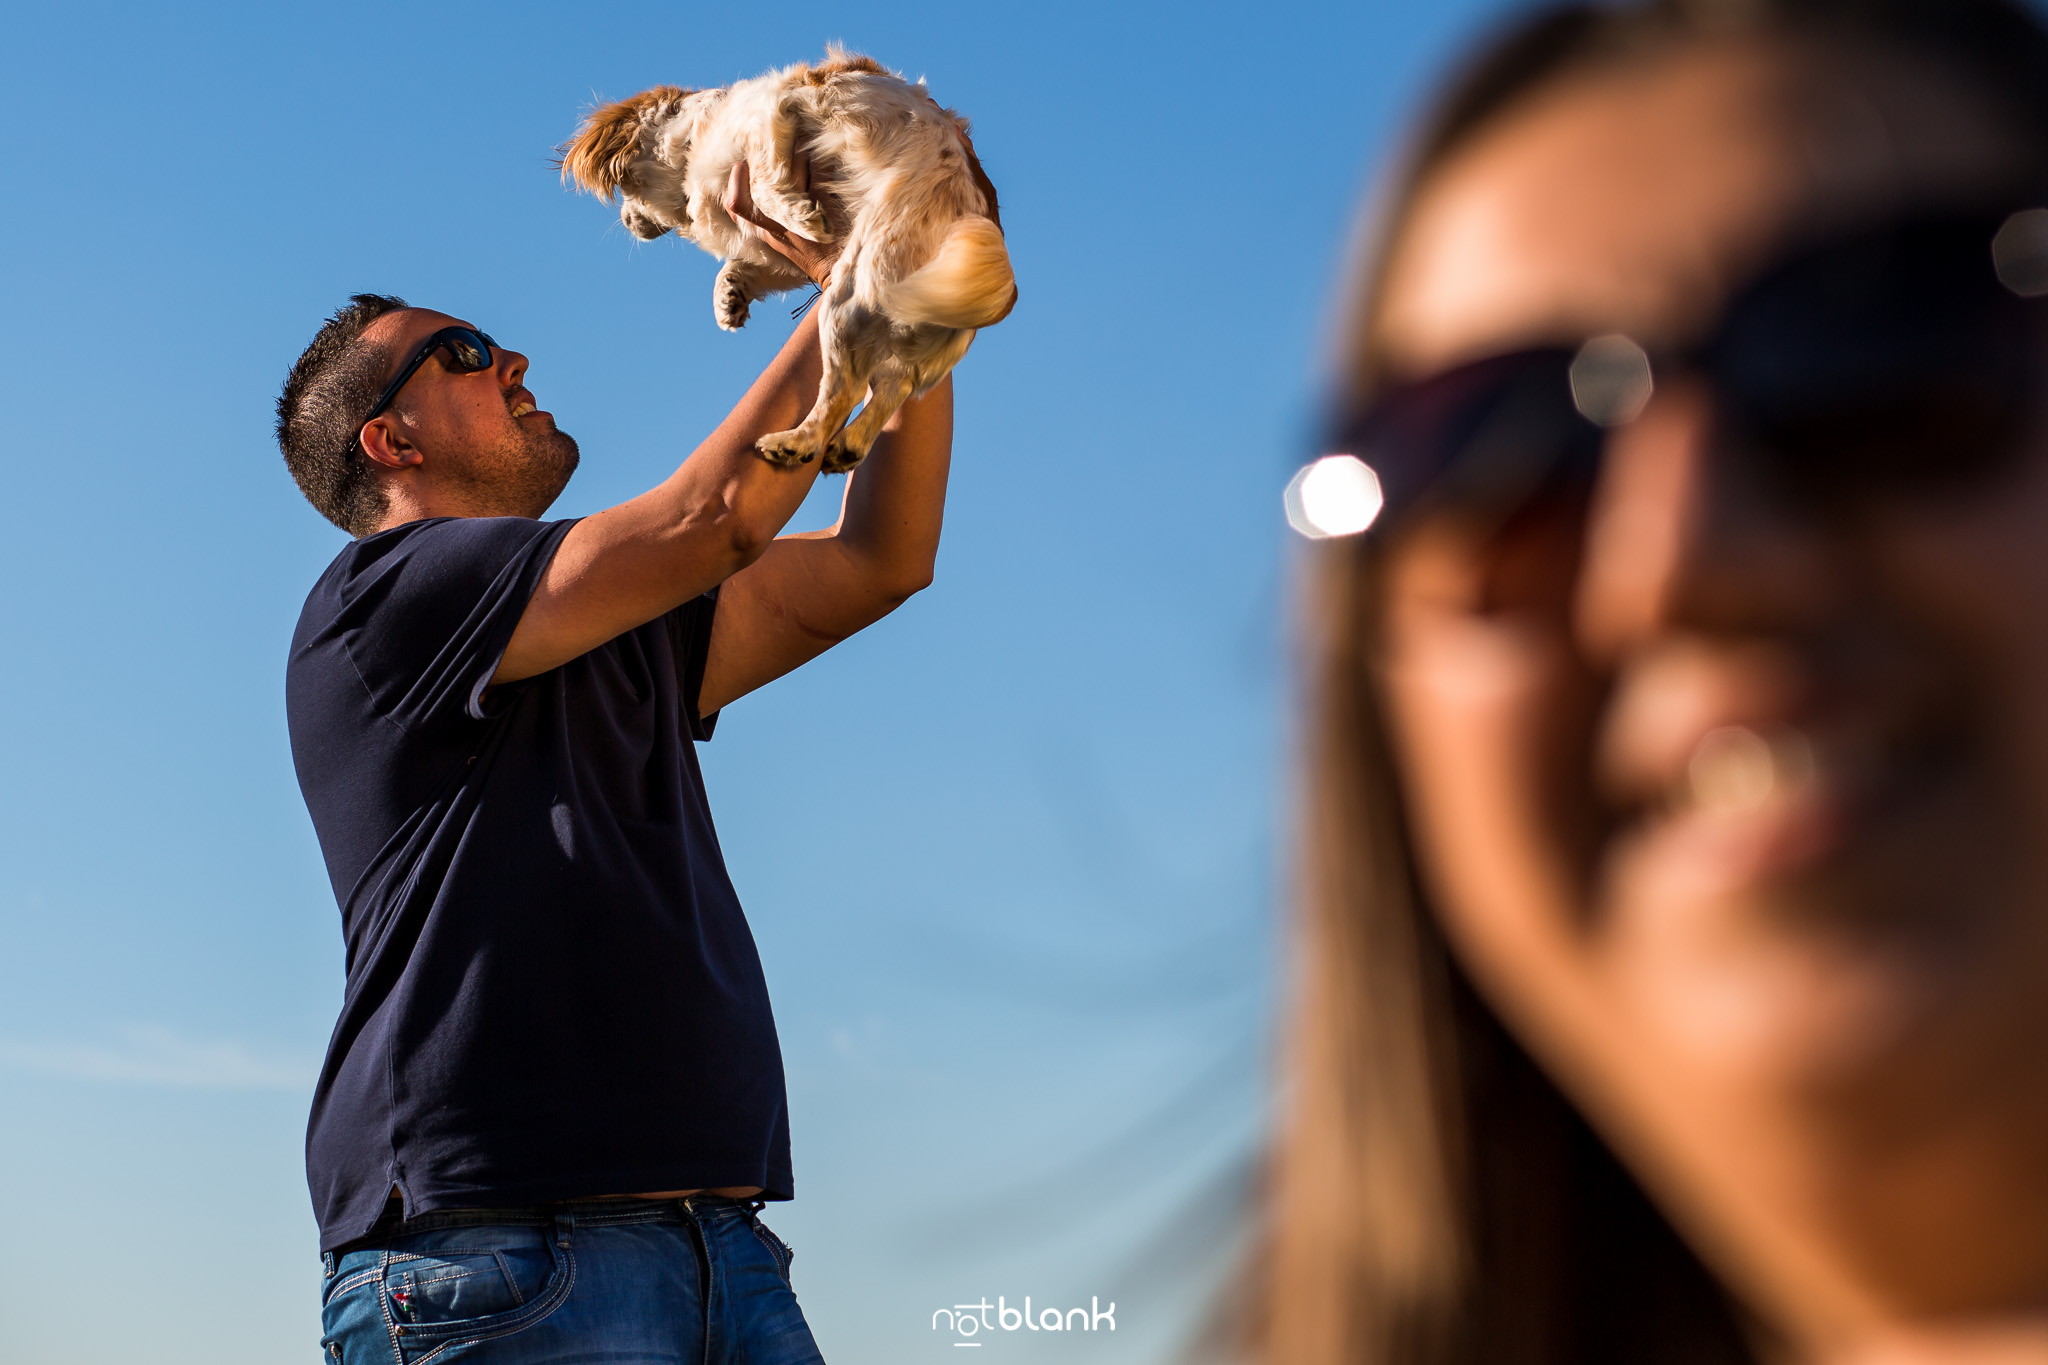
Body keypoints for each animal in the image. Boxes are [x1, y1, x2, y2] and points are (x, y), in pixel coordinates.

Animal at [561, 46, 1015, 474]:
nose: (626, 221)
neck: (691, 142)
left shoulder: (771, 117)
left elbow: (765, 185)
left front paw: (800, 216)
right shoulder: (775, 252)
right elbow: (747, 264)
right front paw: (729, 297)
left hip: (850, 302)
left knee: (847, 390)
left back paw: (796, 442)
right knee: (894, 389)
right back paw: (848, 445)